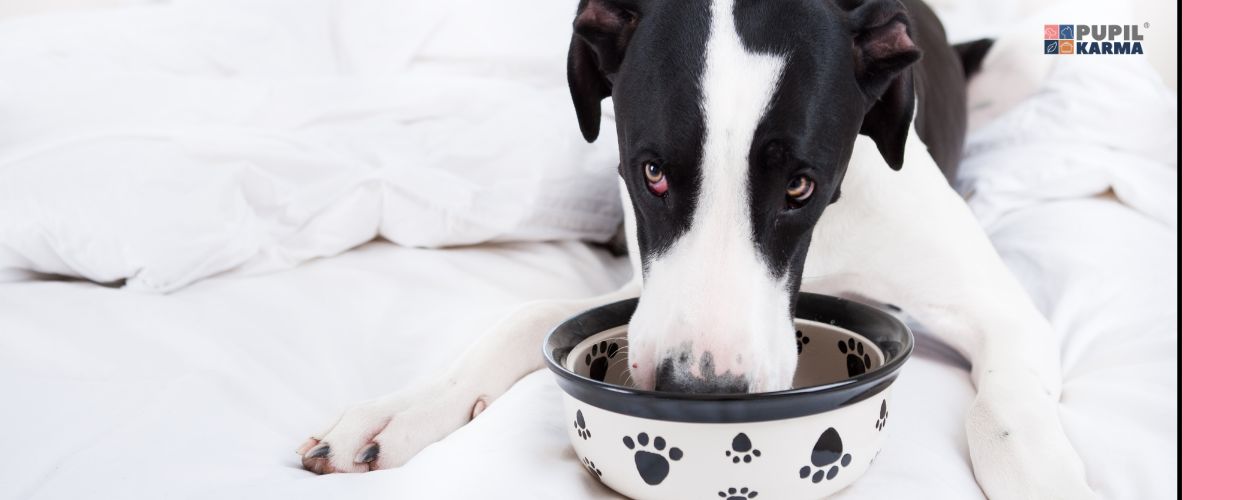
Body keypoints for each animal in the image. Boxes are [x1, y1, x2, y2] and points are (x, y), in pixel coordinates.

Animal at [294, 1, 1093, 496]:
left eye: (800, 184)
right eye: (651, 171)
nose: (698, 392)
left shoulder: (1002, 311)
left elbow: (1003, 414)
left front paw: (1048, 477)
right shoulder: (642, 287)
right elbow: (523, 318)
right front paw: (406, 407)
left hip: (1025, 58)